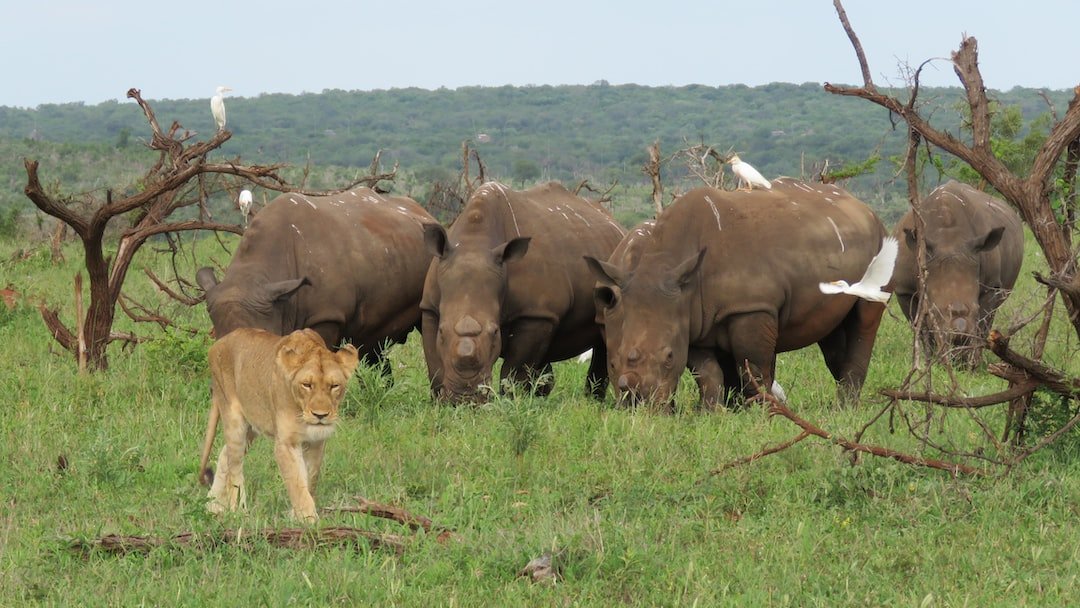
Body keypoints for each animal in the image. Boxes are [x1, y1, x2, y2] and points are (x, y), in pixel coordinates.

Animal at [421, 180, 626, 401]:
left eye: (495, 333)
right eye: (442, 331)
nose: (465, 397)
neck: (474, 243)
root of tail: (618, 226)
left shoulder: (535, 314)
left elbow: (514, 371)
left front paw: (510, 402)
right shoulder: (430, 307)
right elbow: (434, 364)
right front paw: (439, 401)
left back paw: (592, 401)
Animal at [587, 177, 889, 403]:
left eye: (669, 357)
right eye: (612, 363)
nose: (639, 403)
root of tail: (865, 208)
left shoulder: (752, 307)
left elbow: (753, 367)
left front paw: (763, 413)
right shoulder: (692, 318)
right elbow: (706, 371)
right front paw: (711, 413)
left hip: (880, 242)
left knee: (865, 319)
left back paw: (845, 407)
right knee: (832, 332)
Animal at [889, 178, 1023, 365]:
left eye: (975, 309)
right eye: (934, 312)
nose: (959, 338)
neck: (949, 239)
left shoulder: (991, 286)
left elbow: (982, 325)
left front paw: (971, 364)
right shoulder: (905, 290)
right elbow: (920, 328)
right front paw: (933, 362)